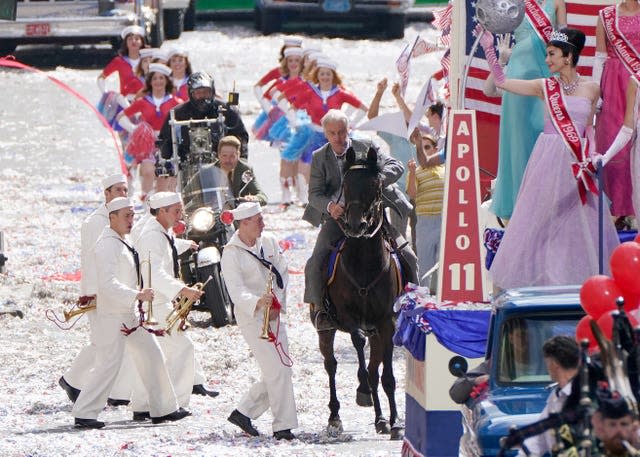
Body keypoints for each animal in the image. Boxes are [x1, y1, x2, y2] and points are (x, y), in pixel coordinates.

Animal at [318, 146, 402, 438]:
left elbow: (386, 376)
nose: (356, 225)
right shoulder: (349, 316)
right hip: (326, 329)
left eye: (375, 187)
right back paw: (334, 417)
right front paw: (361, 389)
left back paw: (381, 419)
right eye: (346, 186)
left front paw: (395, 423)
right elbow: (357, 341)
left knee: (376, 369)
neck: (365, 261)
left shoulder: (387, 322)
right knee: (331, 365)